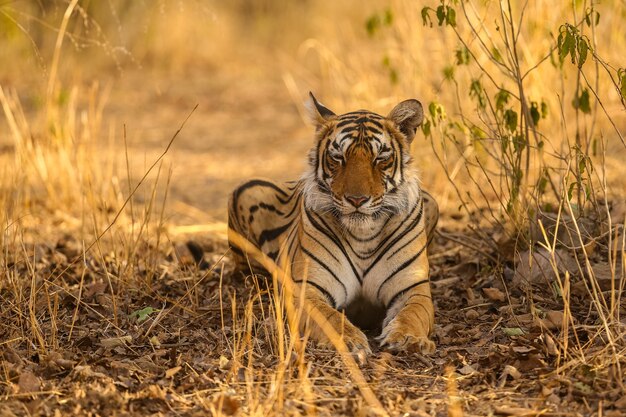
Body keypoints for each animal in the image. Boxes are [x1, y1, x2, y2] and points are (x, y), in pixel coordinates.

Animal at [227, 92, 436, 356]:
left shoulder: (413, 288)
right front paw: (350, 340)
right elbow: (330, 318)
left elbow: (413, 314)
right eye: (338, 158)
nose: (357, 199)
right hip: (245, 190)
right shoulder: (307, 288)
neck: (364, 235)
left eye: (380, 159)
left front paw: (409, 338)